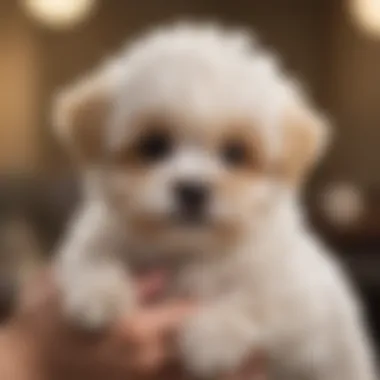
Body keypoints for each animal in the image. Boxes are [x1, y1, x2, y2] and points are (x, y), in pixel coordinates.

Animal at [53, 23, 378, 380]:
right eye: (154, 146)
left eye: (235, 153)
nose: (192, 189)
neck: (189, 251)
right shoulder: (97, 238)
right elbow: (91, 258)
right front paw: (99, 295)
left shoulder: (300, 301)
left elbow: (255, 303)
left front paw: (212, 340)